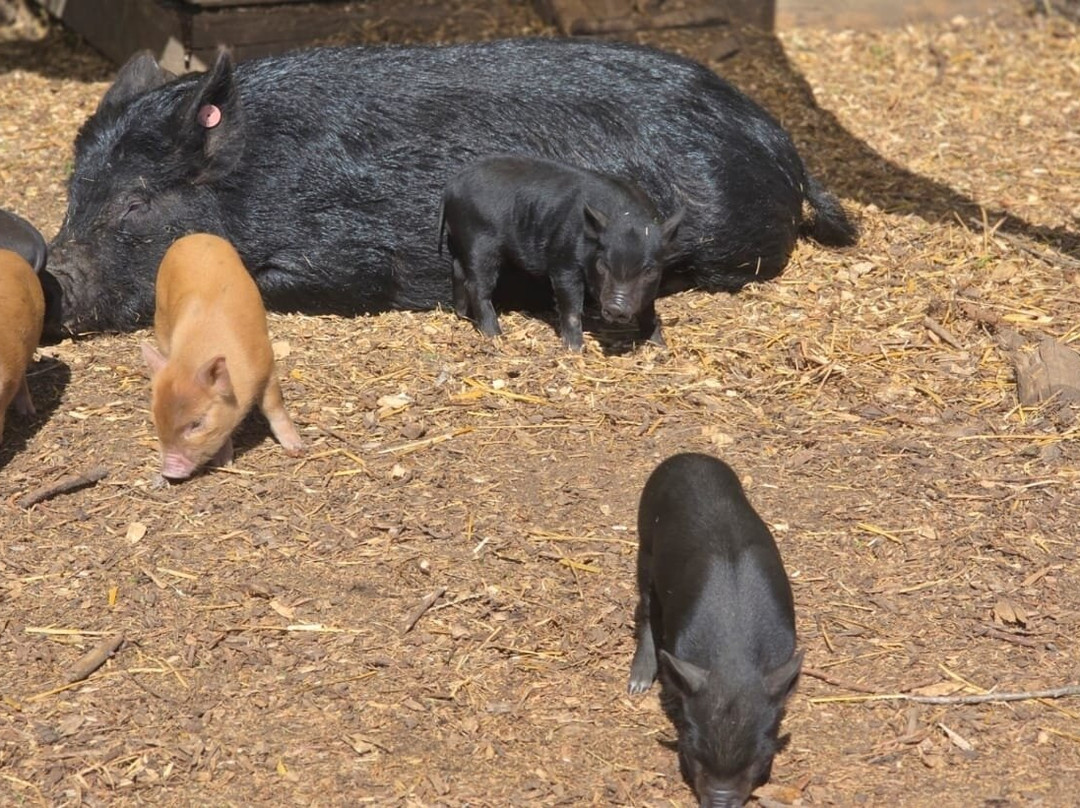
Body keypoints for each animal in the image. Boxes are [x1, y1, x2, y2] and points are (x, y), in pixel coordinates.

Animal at [140, 233, 304, 479]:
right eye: (155, 418)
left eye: (197, 424)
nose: (169, 473)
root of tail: (194, 235)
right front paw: (224, 461)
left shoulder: (267, 364)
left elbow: (274, 406)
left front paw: (297, 449)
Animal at [439, 155, 684, 350]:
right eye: (602, 265)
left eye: (650, 271)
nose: (616, 307)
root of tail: (451, 186)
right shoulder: (563, 261)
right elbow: (571, 305)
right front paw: (575, 349)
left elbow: (649, 309)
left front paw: (660, 346)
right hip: (479, 240)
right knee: (477, 285)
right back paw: (495, 335)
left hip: (461, 241)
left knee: (458, 270)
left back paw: (463, 315)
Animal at [629, 452, 803, 808]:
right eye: (692, 750)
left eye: (761, 756)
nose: (720, 802)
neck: (732, 658)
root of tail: (688, 456)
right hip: (645, 540)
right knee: (646, 605)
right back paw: (637, 684)